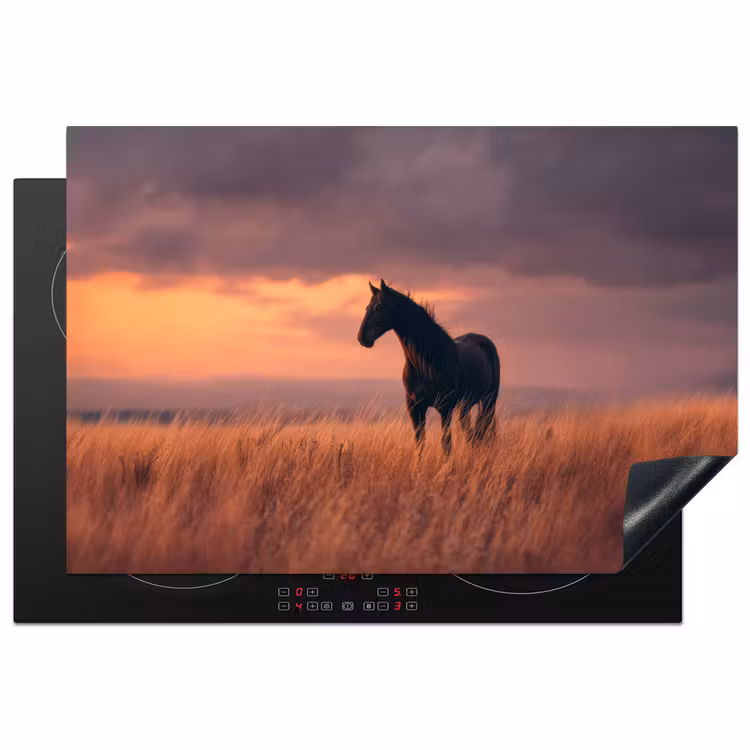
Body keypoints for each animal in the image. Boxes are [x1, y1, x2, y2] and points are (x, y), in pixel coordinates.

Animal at [357, 279, 500, 456]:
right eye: (366, 307)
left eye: (379, 307)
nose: (362, 338)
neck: (427, 363)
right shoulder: (415, 408)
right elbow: (420, 443)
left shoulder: (445, 408)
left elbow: (446, 443)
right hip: (465, 406)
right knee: (471, 435)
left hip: (488, 401)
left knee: (482, 432)